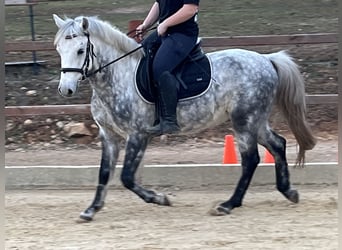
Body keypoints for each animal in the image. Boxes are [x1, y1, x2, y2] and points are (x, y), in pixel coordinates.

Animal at [52, 14, 316, 220]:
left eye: (80, 50)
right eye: (59, 50)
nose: (66, 90)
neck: (117, 76)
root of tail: (267, 59)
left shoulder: (138, 134)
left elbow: (126, 177)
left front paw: (159, 198)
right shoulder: (109, 135)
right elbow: (104, 173)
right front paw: (91, 209)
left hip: (244, 120)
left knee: (251, 159)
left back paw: (228, 205)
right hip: (256, 120)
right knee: (278, 144)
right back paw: (288, 191)